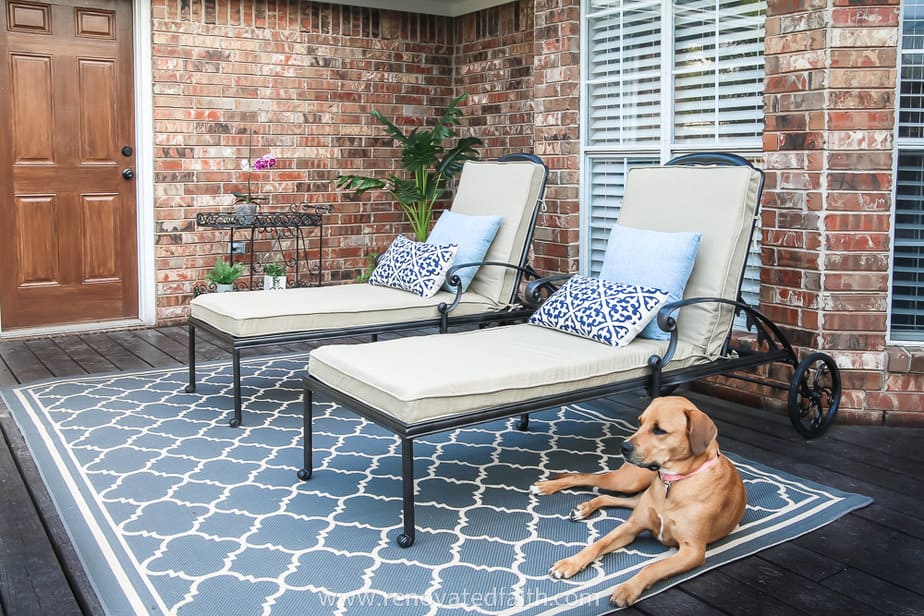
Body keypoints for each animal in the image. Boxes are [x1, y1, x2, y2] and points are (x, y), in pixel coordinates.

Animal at [532, 400, 748, 608]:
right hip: (627, 481)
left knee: (610, 497)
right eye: (639, 422)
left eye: (659, 430)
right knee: (587, 477)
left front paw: (627, 588)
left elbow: (652, 566)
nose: (623, 446)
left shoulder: (692, 551)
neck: (672, 482)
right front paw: (570, 563)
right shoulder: (631, 526)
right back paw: (549, 487)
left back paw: (583, 508)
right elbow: (597, 544)